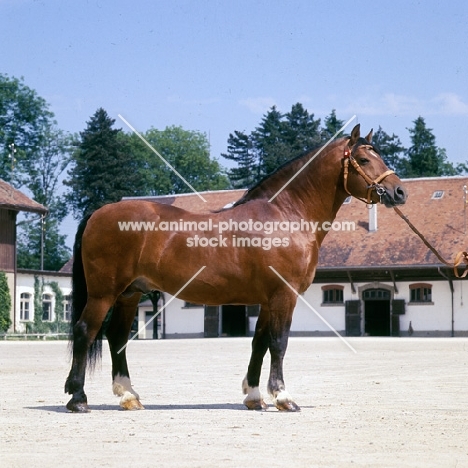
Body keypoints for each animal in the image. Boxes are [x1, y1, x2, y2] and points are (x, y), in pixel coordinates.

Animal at [64, 125, 408, 414]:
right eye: (364, 159)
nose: (399, 192)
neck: (287, 215)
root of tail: (98, 213)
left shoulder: (268, 300)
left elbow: (259, 344)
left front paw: (254, 396)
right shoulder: (284, 296)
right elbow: (278, 343)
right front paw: (283, 397)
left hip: (129, 294)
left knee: (116, 337)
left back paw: (128, 396)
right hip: (104, 294)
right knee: (85, 331)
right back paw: (78, 399)